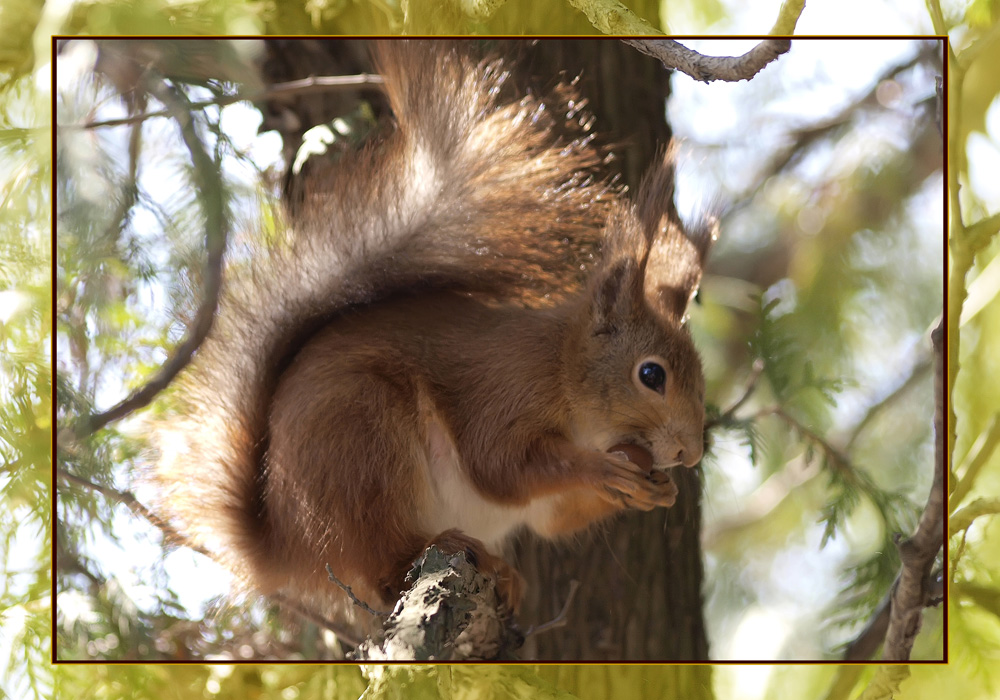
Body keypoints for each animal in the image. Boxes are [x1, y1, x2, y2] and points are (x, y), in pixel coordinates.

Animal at [150, 41, 712, 624]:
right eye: (651, 375)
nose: (691, 455)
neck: (563, 369)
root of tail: (285, 546)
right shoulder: (506, 390)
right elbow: (500, 465)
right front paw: (602, 470)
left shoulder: (549, 502)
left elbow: (554, 517)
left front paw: (656, 491)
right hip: (360, 438)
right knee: (382, 565)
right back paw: (443, 548)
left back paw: (503, 572)